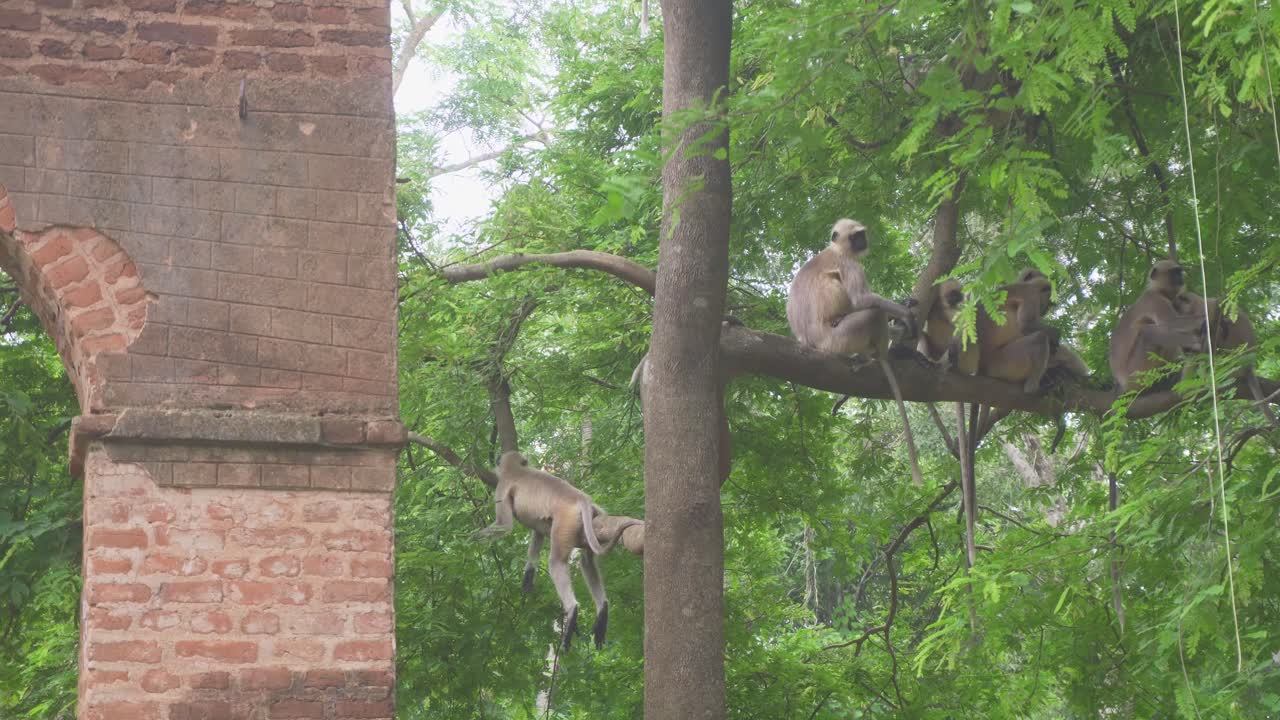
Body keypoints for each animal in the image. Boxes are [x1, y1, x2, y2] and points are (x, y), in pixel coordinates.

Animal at [472, 450, 623, 651]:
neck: (517, 470)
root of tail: (581, 497)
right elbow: (537, 533)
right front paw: (528, 577)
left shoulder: (502, 485)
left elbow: (505, 526)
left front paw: (469, 538)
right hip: (593, 521)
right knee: (587, 561)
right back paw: (602, 611)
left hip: (566, 521)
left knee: (556, 561)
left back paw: (572, 611)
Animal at [787, 218, 924, 485]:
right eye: (854, 237)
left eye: (861, 235)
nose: (862, 242)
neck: (837, 249)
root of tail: (810, 341)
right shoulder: (849, 263)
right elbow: (862, 300)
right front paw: (905, 314)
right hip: (839, 338)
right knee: (873, 312)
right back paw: (875, 356)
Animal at [1109, 260, 1207, 394]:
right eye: (1174, 273)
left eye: (1179, 272)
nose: (1181, 277)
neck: (1160, 291)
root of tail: (1123, 383)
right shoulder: (1153, 299)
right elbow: (1171, 323)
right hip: (1135, 373)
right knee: (1147, 332)